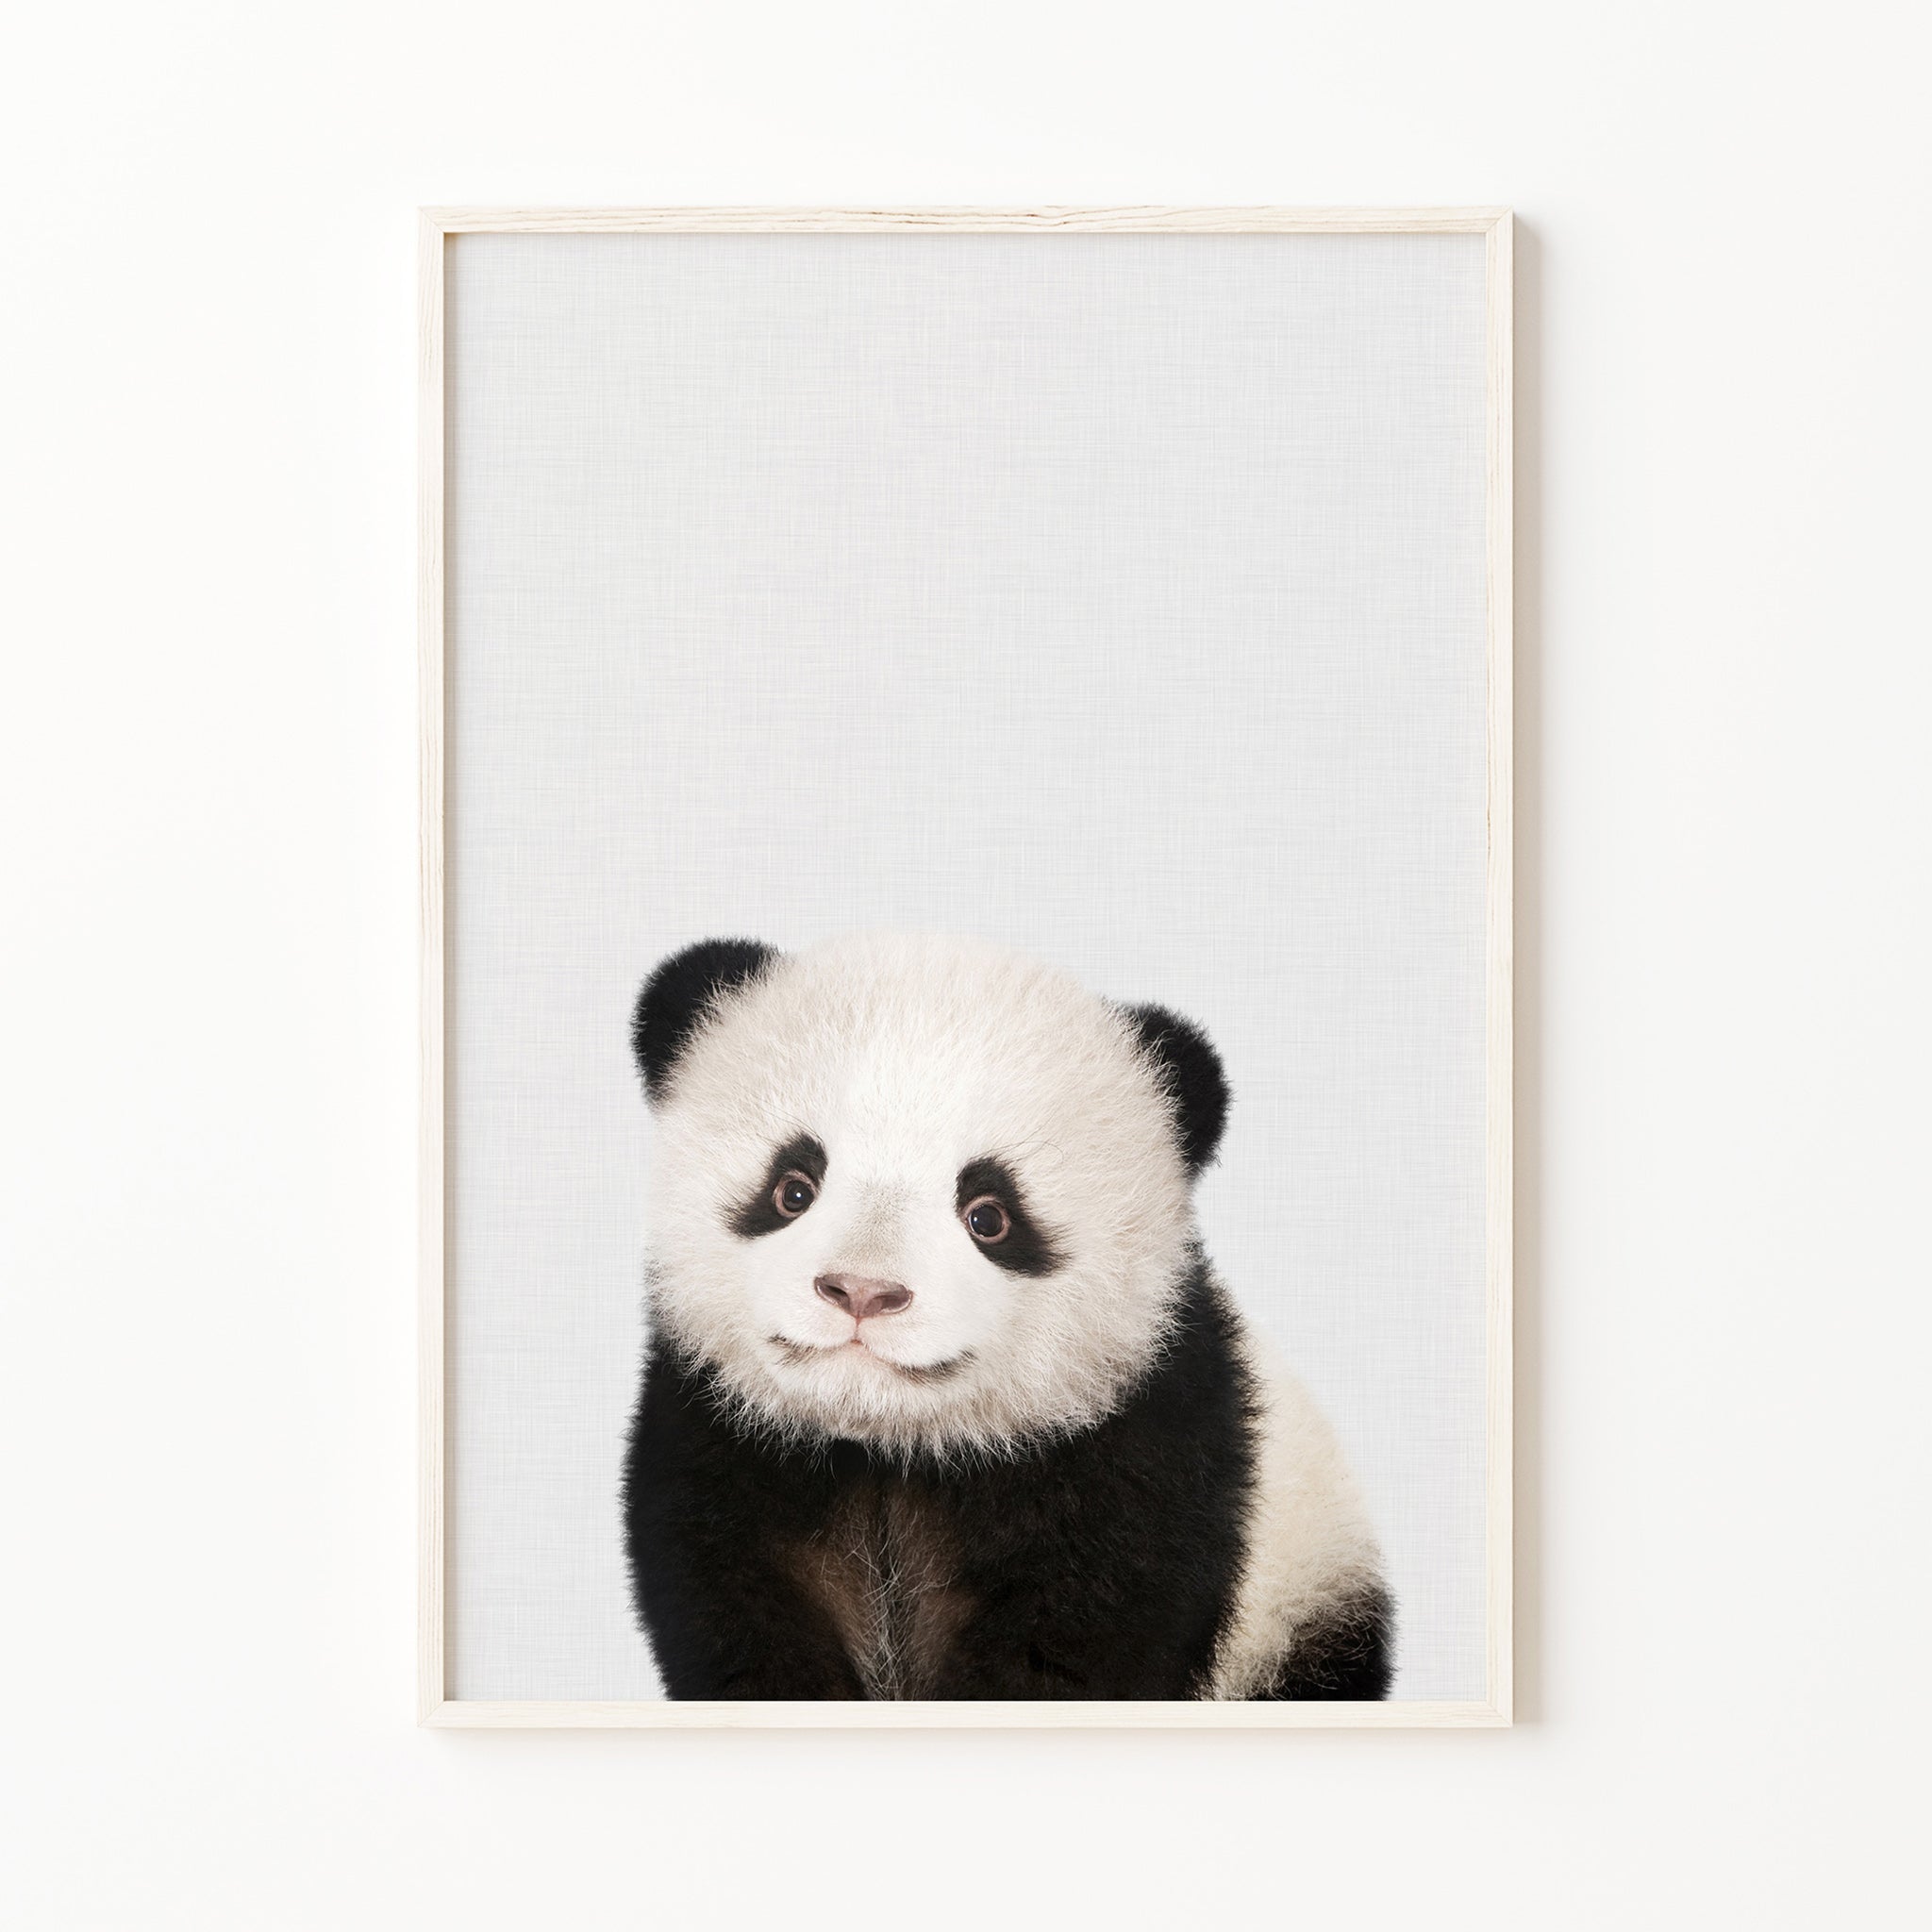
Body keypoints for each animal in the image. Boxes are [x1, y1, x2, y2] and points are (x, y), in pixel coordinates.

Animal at [622, 931, 1392, 1701]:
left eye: (989, 1215)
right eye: (793, 1189)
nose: (863, 1291)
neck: (893, 1450)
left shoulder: (1142, 1454)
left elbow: (1067, 1646)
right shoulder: (722, 1442)